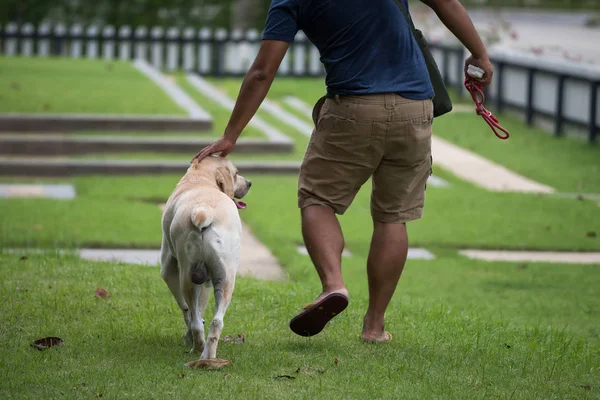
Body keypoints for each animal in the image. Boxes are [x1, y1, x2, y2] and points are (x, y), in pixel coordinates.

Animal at [159, 155, 251, 362]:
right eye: (236, 174)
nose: (249, 183)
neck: (200, 179)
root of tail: (204, 211)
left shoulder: (169, 270)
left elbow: (187, 308)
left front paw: (187, 336)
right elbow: (198, 310)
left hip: (187, 275)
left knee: (194, 318)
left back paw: (198, 348)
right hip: (225, 278)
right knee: (216, 321)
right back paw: (207, 356)